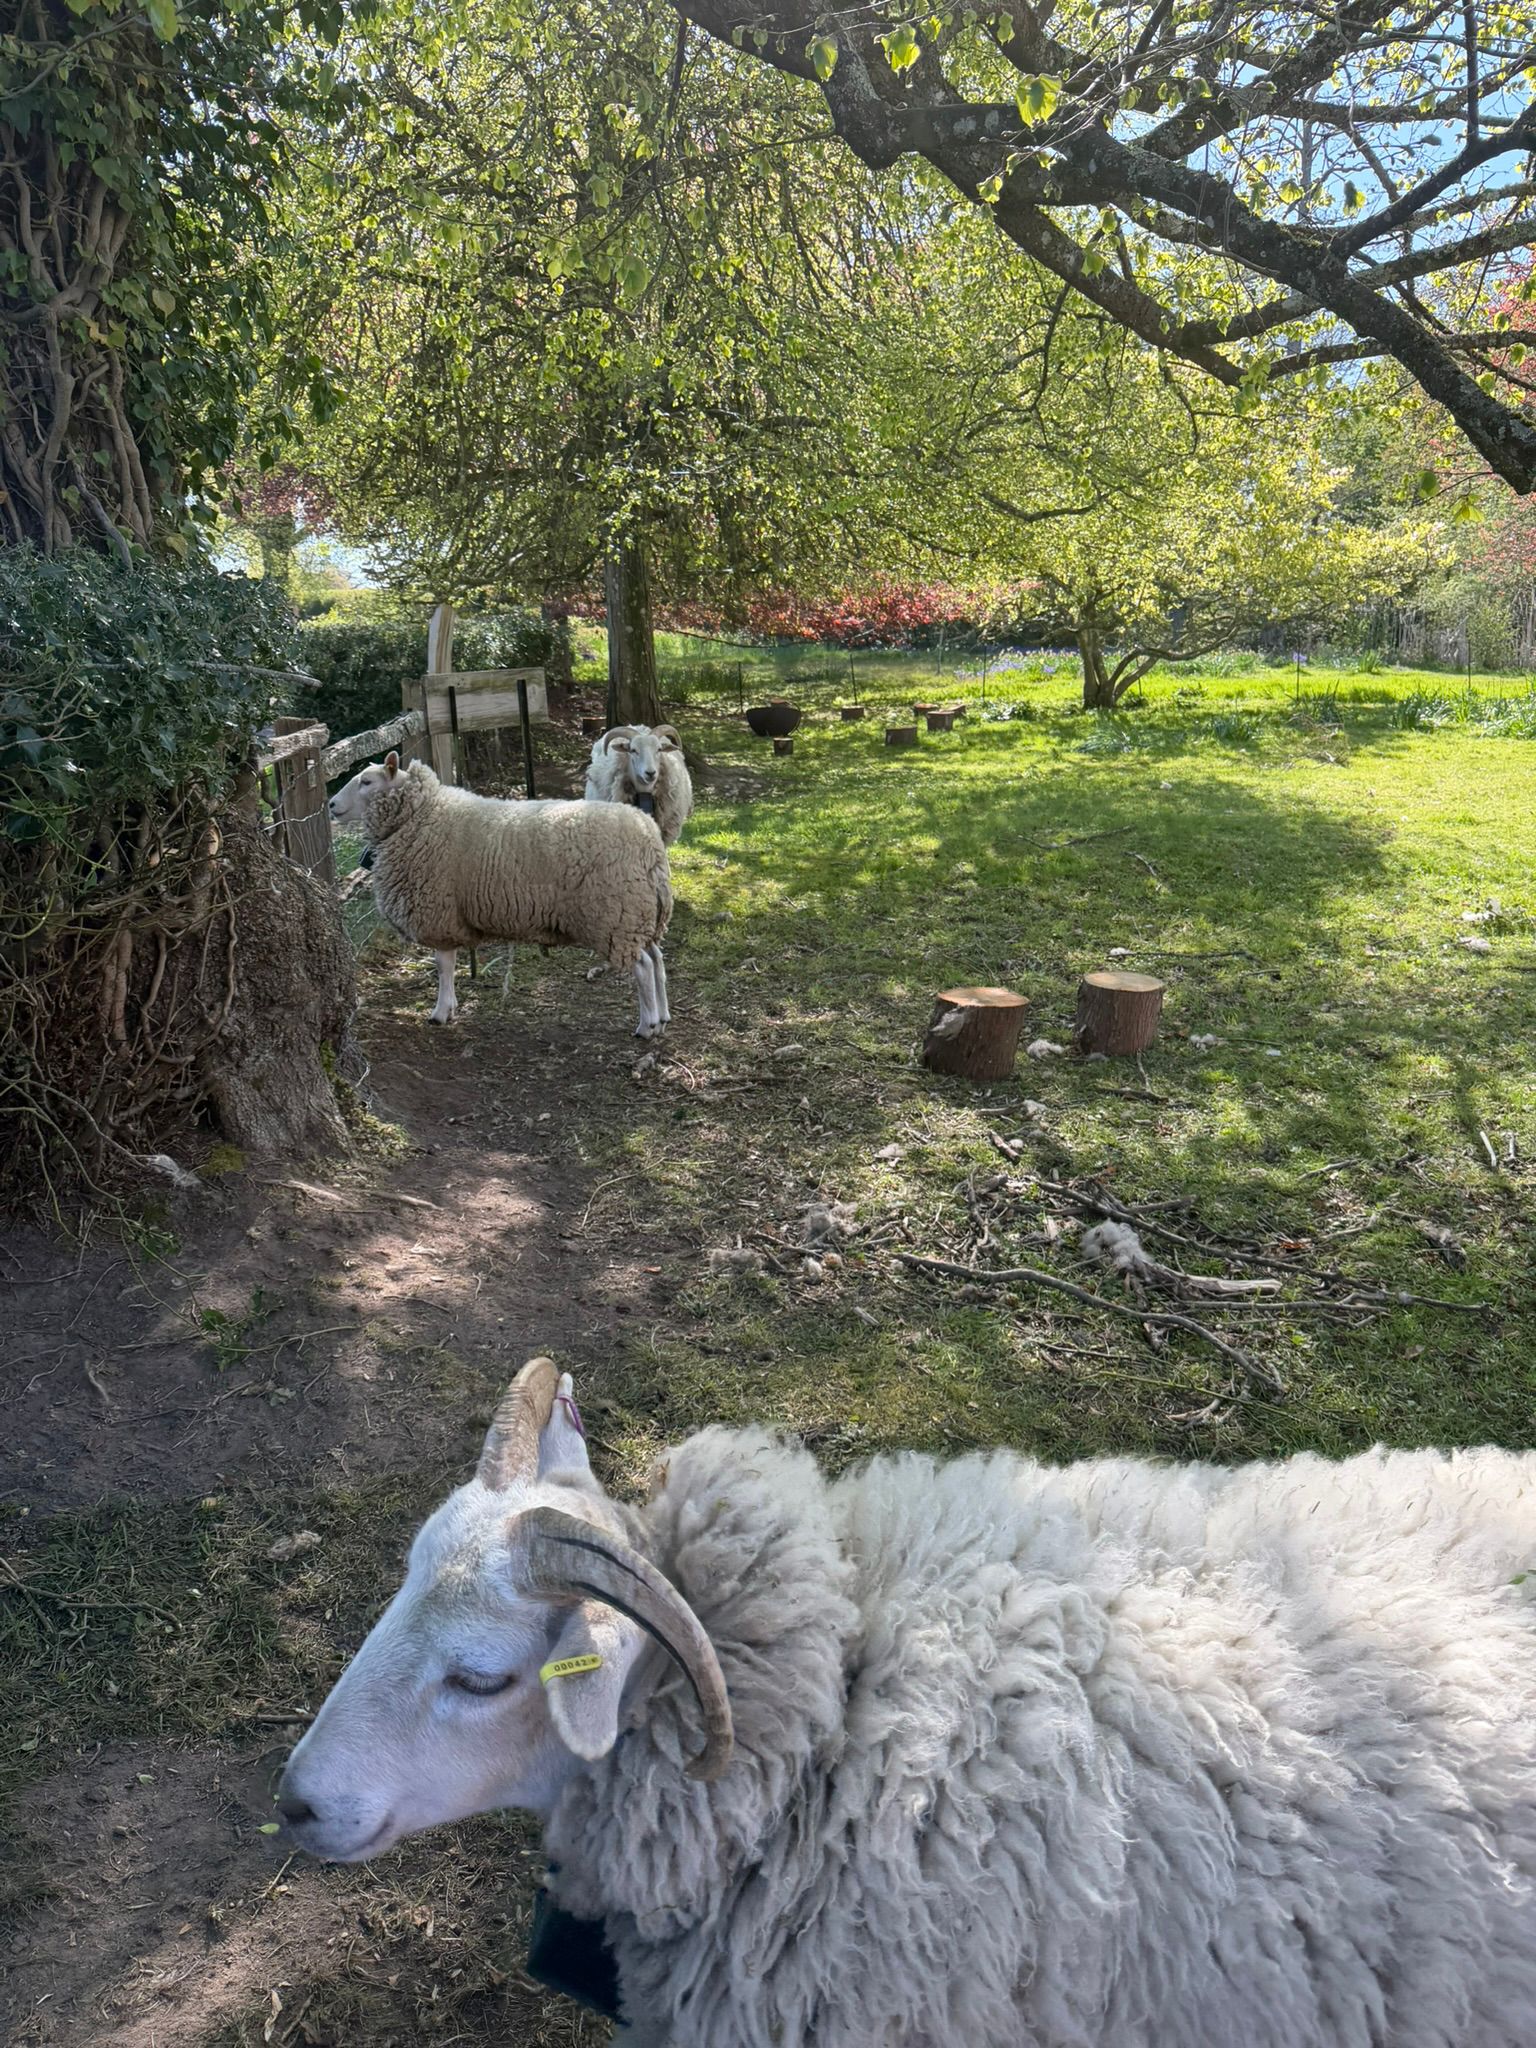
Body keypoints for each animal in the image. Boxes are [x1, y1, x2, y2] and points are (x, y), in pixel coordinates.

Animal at [327, 754, 672, 1038]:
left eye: (367, 782)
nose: (330, 804)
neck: (418, 816)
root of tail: (648, 838)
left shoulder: (438, 909)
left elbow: (442, 965)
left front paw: (440, 1011)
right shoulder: (448, 915)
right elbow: (449, 964)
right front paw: (449, 1007)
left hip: (617, 916)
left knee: (642, 965)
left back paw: (647, 1025)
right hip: (643, 913)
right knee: (656, 958)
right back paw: (664, 1016)